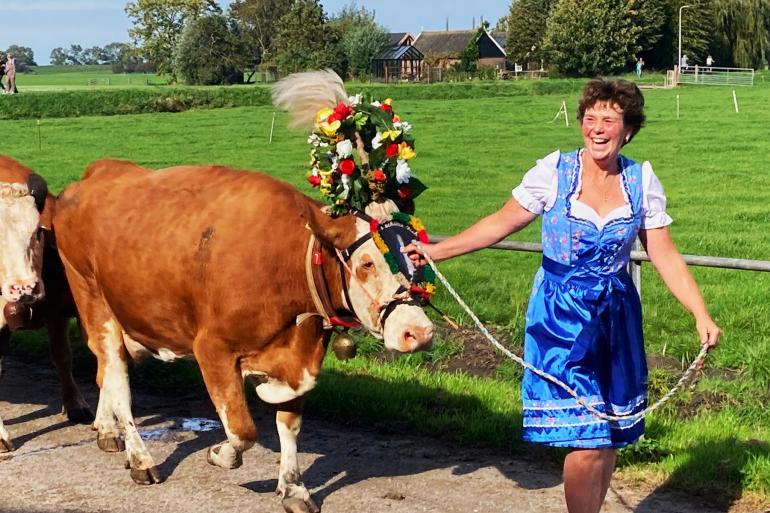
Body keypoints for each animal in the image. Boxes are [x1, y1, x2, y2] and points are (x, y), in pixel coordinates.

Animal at [55, 160, 432, 512]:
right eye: (368, 263)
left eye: (416, 257)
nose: (419, 332)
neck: (285, 261)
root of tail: (99, 171)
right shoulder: (212, 349)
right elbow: (243, 430)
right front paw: (221, 454)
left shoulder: (297, 361)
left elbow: (289, 426)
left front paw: (294, 489)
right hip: (94, 301)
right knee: (117, 380)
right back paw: (140, 460)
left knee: (106, 372)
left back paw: (106, 428)